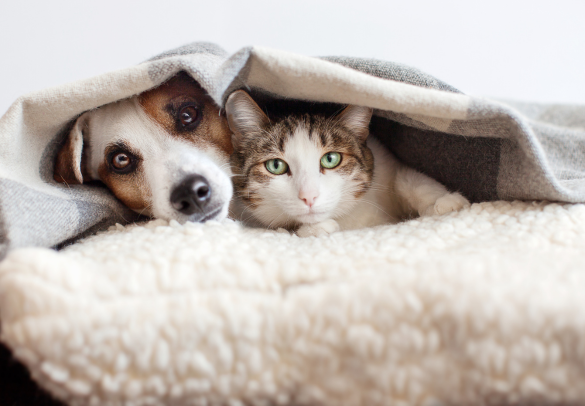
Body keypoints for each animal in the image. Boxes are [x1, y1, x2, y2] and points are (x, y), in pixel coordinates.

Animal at [224, 91, 470, 238]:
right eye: (276, 165)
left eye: (331, 159)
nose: (309, 196)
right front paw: (316, 228)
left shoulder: (385, 159)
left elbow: (408, 178)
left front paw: (445, 202)